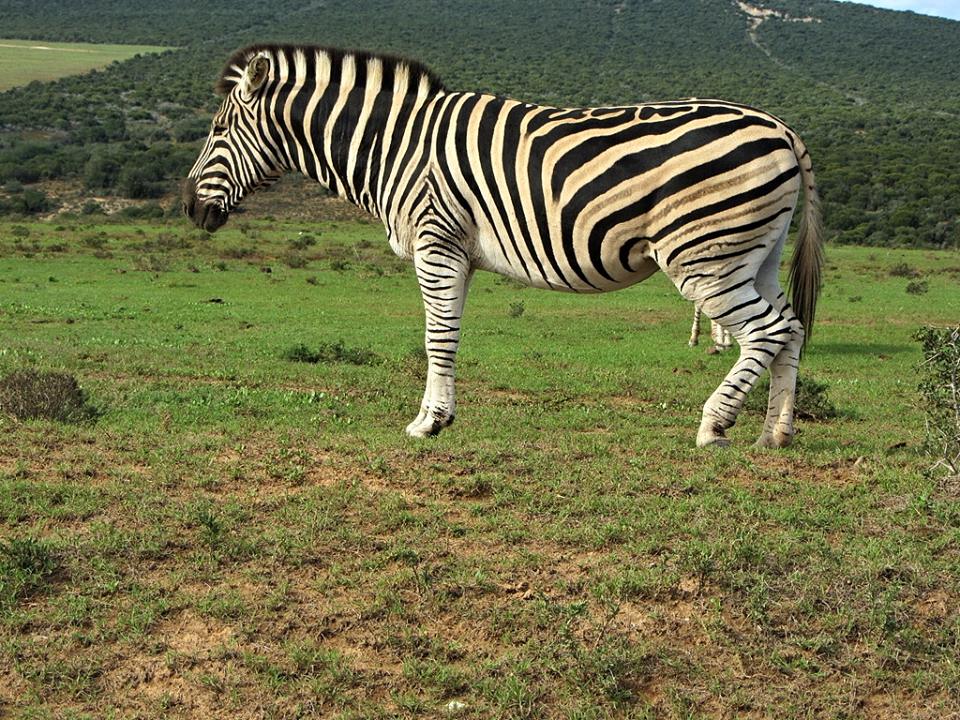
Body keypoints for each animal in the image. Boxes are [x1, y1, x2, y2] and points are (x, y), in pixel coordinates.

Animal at [183, 45, 823, 448]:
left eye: (218, 131)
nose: (189, 208)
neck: (396, 146)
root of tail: (781, 128)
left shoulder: (436, 240)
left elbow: (436, 336)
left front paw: (428, 424)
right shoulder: (458, 253)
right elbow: (446, 335)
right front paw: (438, 415)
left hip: (704, 257)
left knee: (766, 330)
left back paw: (714, 427)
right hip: (753, 256)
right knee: (791, 328)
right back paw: (775, 433)